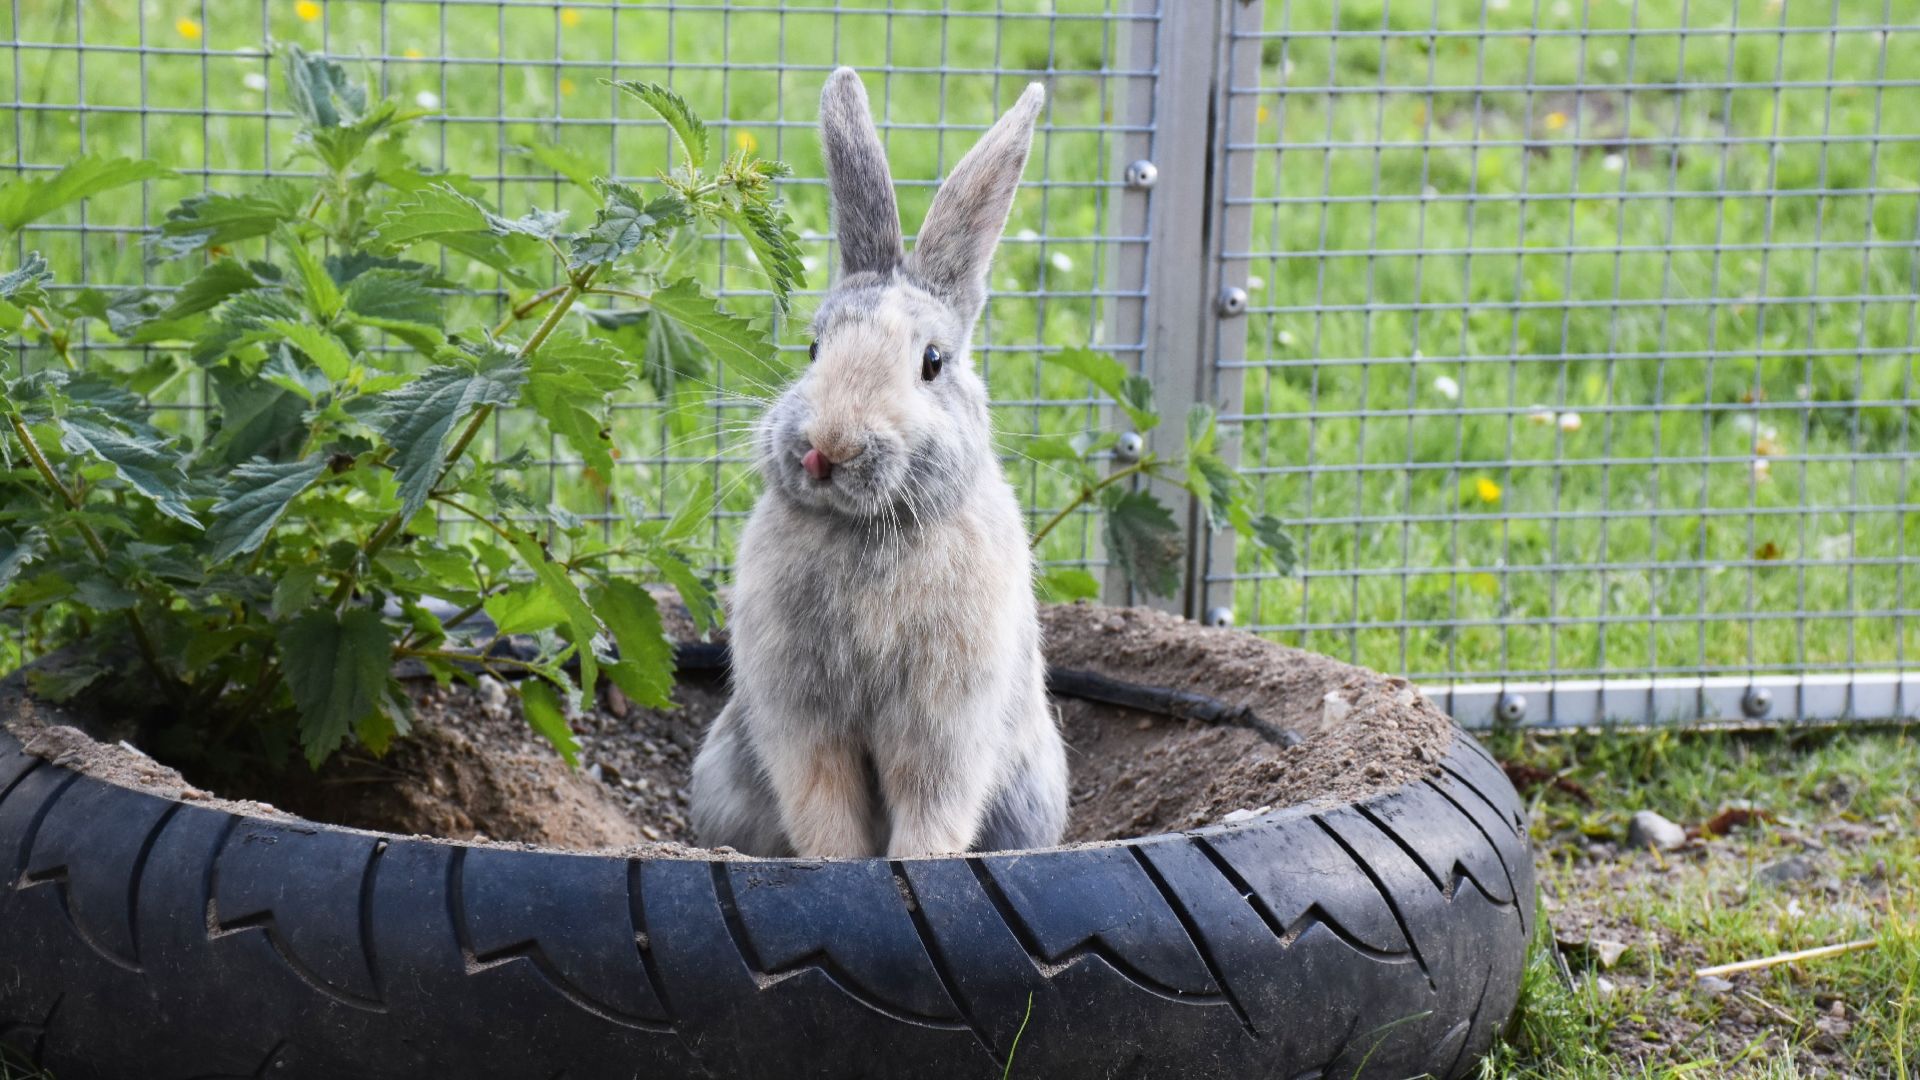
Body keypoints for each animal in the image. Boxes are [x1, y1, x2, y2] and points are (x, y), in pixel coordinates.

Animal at [691, 67, 1067, 857]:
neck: (866, 529)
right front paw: (837, 866)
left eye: (932, 362)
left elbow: (931, 803)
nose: (824, 448)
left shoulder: (944, 727)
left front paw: (919, 863)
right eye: (813, 348)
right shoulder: (804, 722)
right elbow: (824, 803)